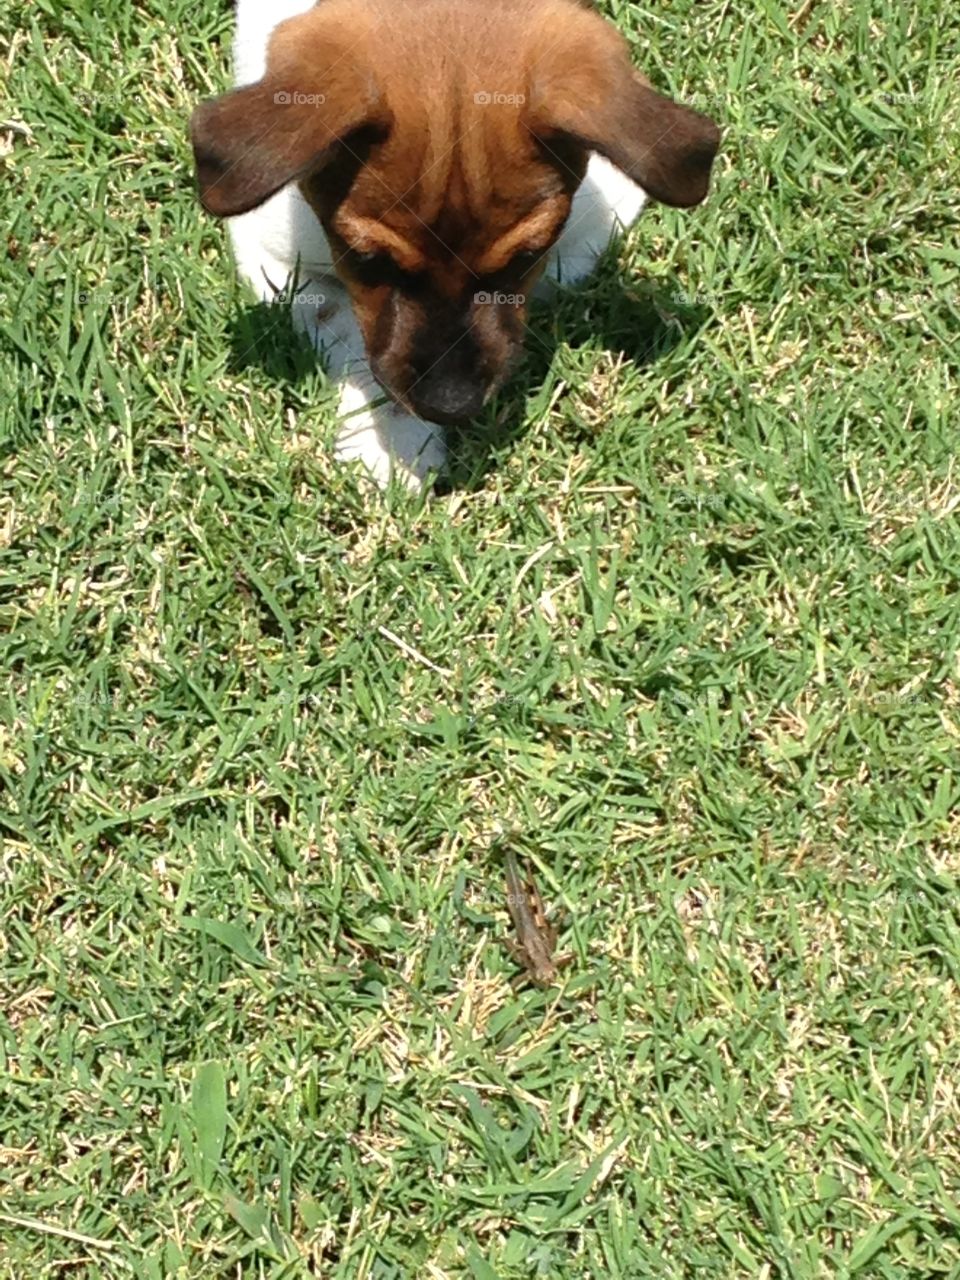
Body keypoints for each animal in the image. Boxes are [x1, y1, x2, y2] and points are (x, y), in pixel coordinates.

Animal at [192, 0, 716, 483]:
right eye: (368, 260)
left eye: (526, 256)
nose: (451, 405)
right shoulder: (272, 254)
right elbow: (345, 328)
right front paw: (394, 446)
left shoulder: (604, 213)